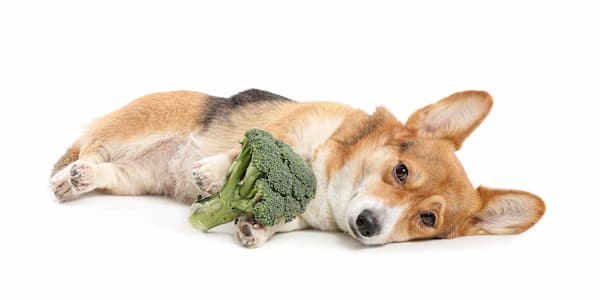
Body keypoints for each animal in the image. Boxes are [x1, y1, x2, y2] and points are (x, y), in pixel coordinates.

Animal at [50, 89, 544, 248]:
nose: (368, 225)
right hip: (132, 130)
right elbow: (253, 147)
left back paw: (82, 179)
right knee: (90, 147)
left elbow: (280, 220)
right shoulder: (285, 130)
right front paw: (214, 173)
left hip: (136, 179)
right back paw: (68, 176)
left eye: (427, 218)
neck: (330, 185)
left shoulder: (301, 214)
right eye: (401, 171)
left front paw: (254, 227)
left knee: (108, 172)